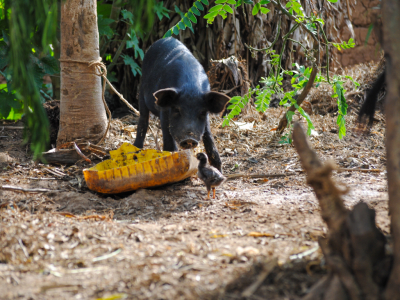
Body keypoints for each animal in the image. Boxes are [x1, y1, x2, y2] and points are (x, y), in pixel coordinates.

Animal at [134, 38, 230, 171]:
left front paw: (219, 169)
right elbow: (168, 138)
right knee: (143, 120)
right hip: (142, 91)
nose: (189, 138)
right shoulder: (164, 112)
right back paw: (136, 149)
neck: (190, 88)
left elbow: (209, 137)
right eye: (177, 110)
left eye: (202, 112)